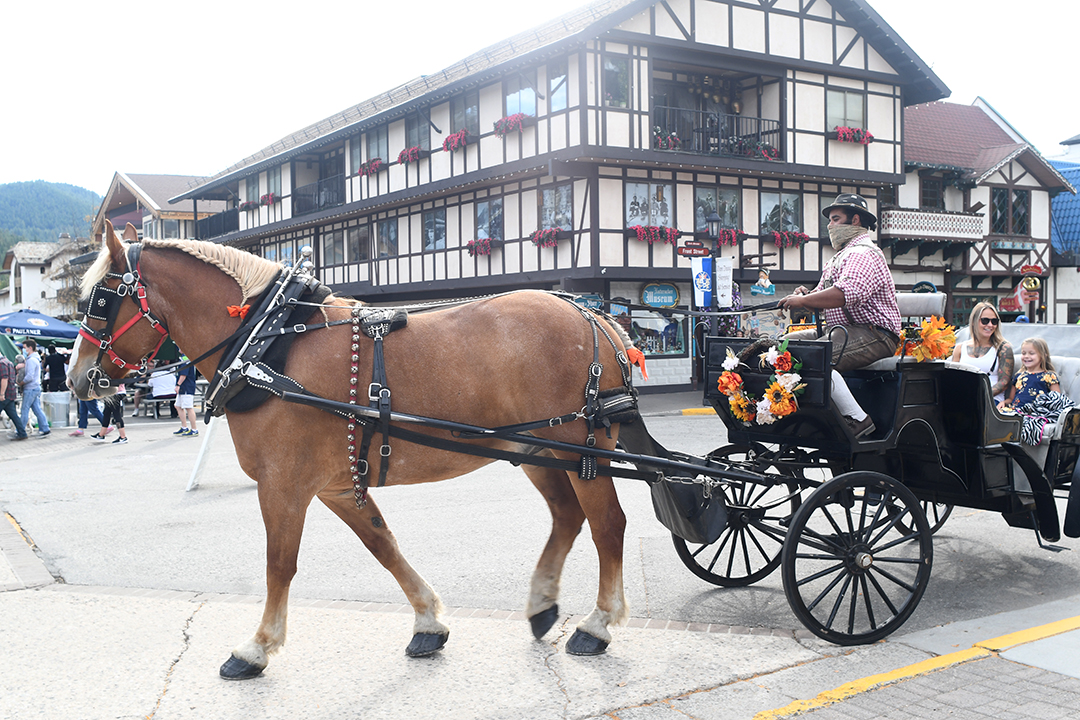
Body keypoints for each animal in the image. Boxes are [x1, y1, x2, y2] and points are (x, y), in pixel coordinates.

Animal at [69, 222, 630, 677]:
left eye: (98, 300)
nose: (77, 378)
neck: (265, 343)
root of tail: (594, 316)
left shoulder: (283, 484)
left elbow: (280, 563)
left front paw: (257, 647)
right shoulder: (337, 486)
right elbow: (384, 546)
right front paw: (427, 621)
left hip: (582, 452)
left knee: (607, 524)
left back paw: (597, 624)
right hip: (537, 451)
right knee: (567, 516)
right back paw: (542, 605)